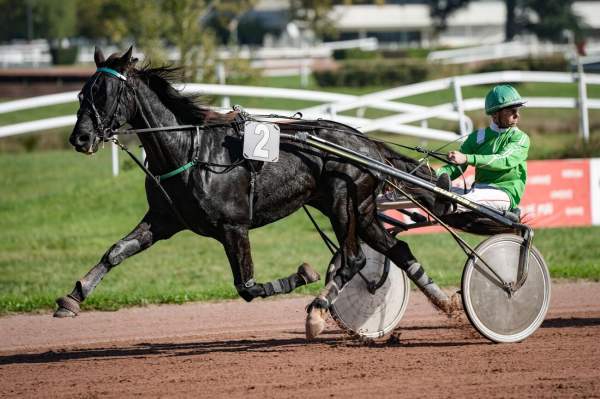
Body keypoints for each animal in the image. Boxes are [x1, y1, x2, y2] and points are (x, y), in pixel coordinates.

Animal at [57, 47, 460, 340]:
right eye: (81, 92)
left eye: (104, 93)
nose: (79, 138)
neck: (189, 150)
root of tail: (366, 142)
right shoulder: (164, 219)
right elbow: (115, 251)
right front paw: (73, 297)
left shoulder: (233, 226)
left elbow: (247, 287)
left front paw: (303, 274)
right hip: (361, 210)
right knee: (398, 249)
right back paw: (447, 304)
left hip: (344, 202)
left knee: (354, 260)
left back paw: (317, 311)